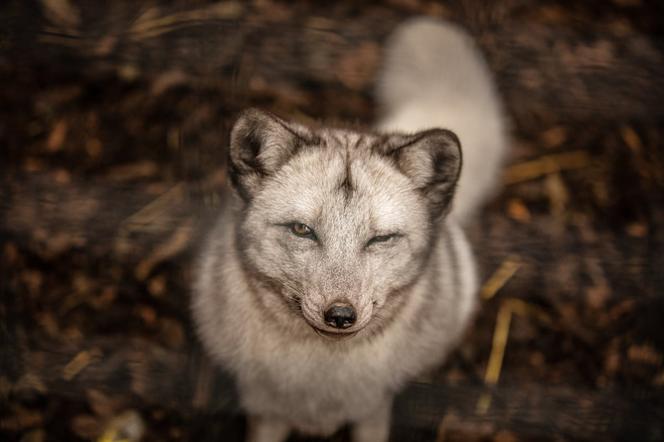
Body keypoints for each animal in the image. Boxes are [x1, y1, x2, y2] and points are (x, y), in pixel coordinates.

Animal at [192, 17, 508, 442]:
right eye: (302, 230)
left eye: (381, 238)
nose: (340, 315)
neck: (322, 380)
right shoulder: (264, 411)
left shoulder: (373, 410)